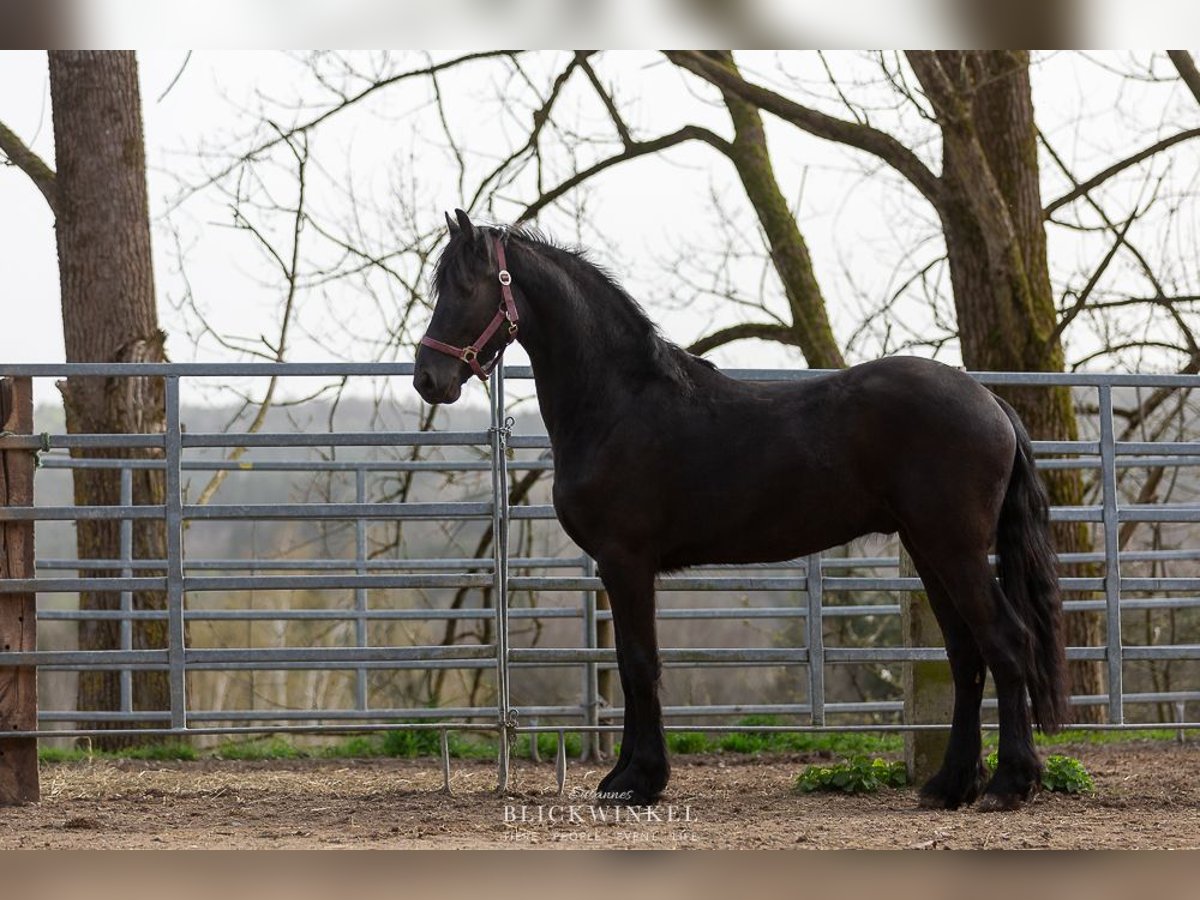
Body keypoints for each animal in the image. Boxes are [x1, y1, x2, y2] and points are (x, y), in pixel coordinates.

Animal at [415, 210, 1070, 811]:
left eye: (465, 287)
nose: (427, 378)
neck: (617, 404)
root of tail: (990, 401)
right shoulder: (614, 567)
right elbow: (629, 666)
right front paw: (623, 776)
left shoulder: (627, 562)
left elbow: (639, 665)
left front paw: (639, 781)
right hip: (929, 549)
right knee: (967, 657)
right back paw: (950, 785)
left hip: (954, 549)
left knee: (1007, 642)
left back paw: (1010, 785)